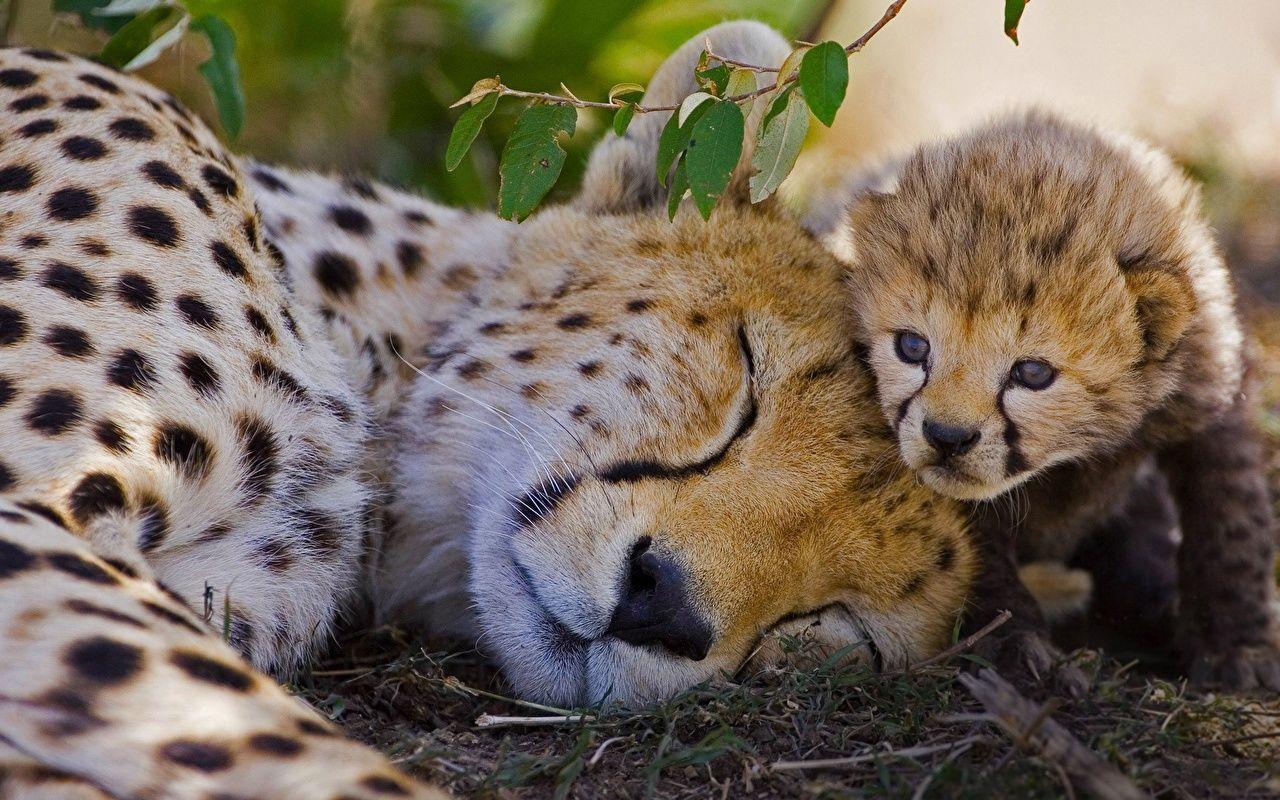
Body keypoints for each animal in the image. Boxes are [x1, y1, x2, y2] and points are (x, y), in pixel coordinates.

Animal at [812, 109, 1280, 693]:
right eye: (912, 346)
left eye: (1032, 373)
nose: (947, 437)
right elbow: (977, 557)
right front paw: (1020, 648)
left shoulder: (1209, 386)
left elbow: (1232, 515)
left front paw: (1236, 643)